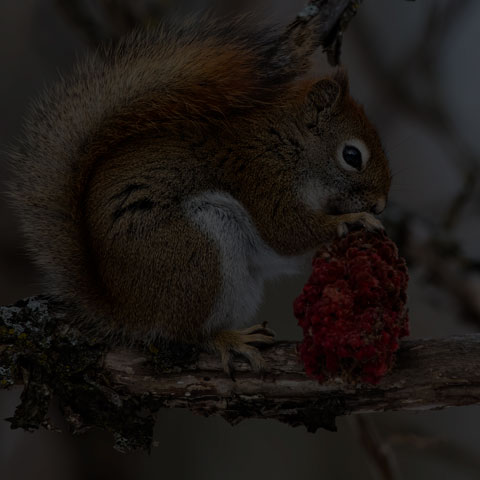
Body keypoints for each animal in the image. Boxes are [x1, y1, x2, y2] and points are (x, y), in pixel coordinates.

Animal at [7, 14, 390, 376]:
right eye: (352, 155)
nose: (381, 204)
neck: (287, 145)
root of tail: (124, 306)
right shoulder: (260, 177)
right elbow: (287, 232)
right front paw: (354, 219)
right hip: (196, 252)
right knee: (186, 333)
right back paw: (228, 339)